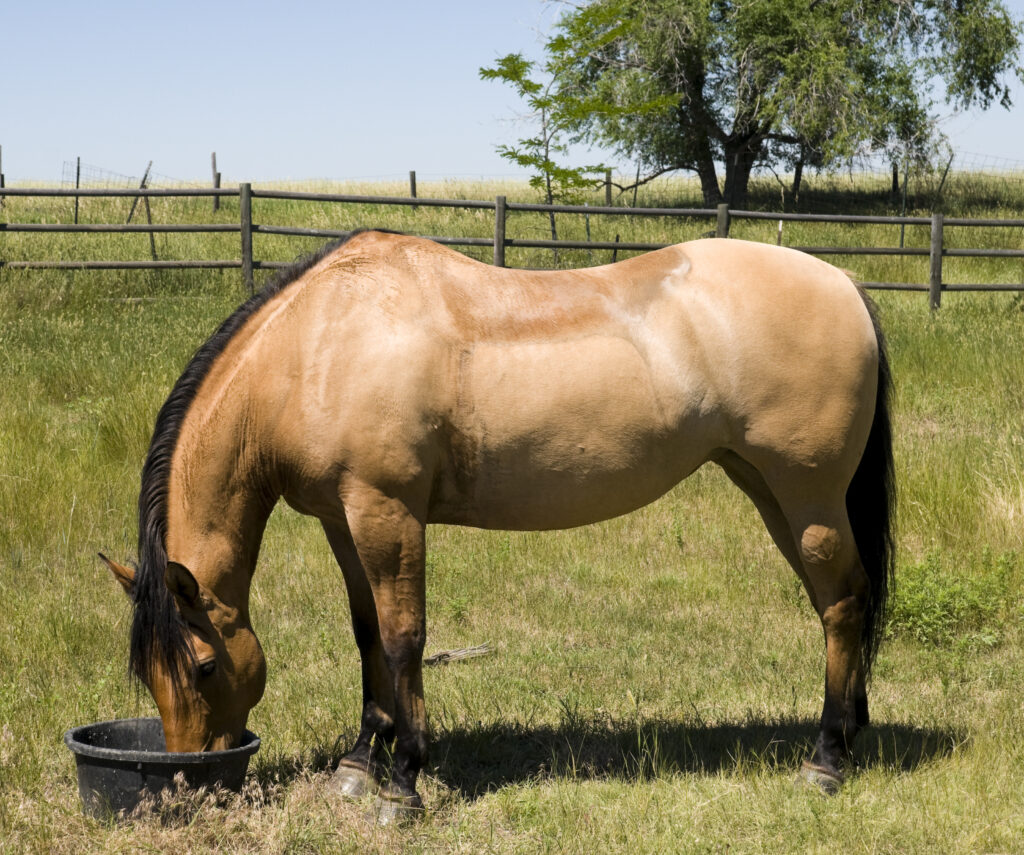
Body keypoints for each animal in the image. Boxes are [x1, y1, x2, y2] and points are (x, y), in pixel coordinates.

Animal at [99, 227, 892, 823]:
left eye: (203, 666)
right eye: (147, 672)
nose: (186, 784)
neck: (320, 343)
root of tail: (843, 283)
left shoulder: (387, 513)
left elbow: (404, 638)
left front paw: (404, 783)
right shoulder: (342, 520)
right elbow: (367, 635)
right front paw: (360, 761)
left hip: (809, 496)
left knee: (841, 602)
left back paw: (826, 758)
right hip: (767, 488)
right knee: (840, 601)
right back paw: (850, 731)